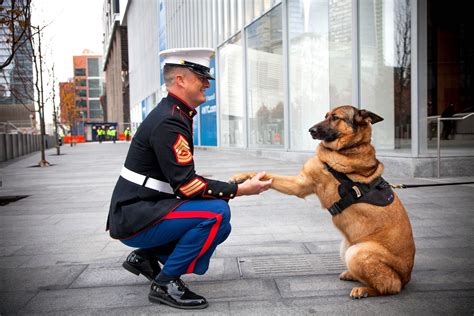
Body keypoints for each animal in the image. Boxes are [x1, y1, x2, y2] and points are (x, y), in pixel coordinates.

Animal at [230, 105, 414, 298]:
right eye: (325, 115)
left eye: (335, 118)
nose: (310, 130)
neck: (349, 148)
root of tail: (406, 277)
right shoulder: (300, 184)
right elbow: (267, 175)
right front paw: (241, 177)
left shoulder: (300, 185)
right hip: (345, 247)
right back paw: (351, 275)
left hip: (356, 252)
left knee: (390, 286)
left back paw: (364, 290)